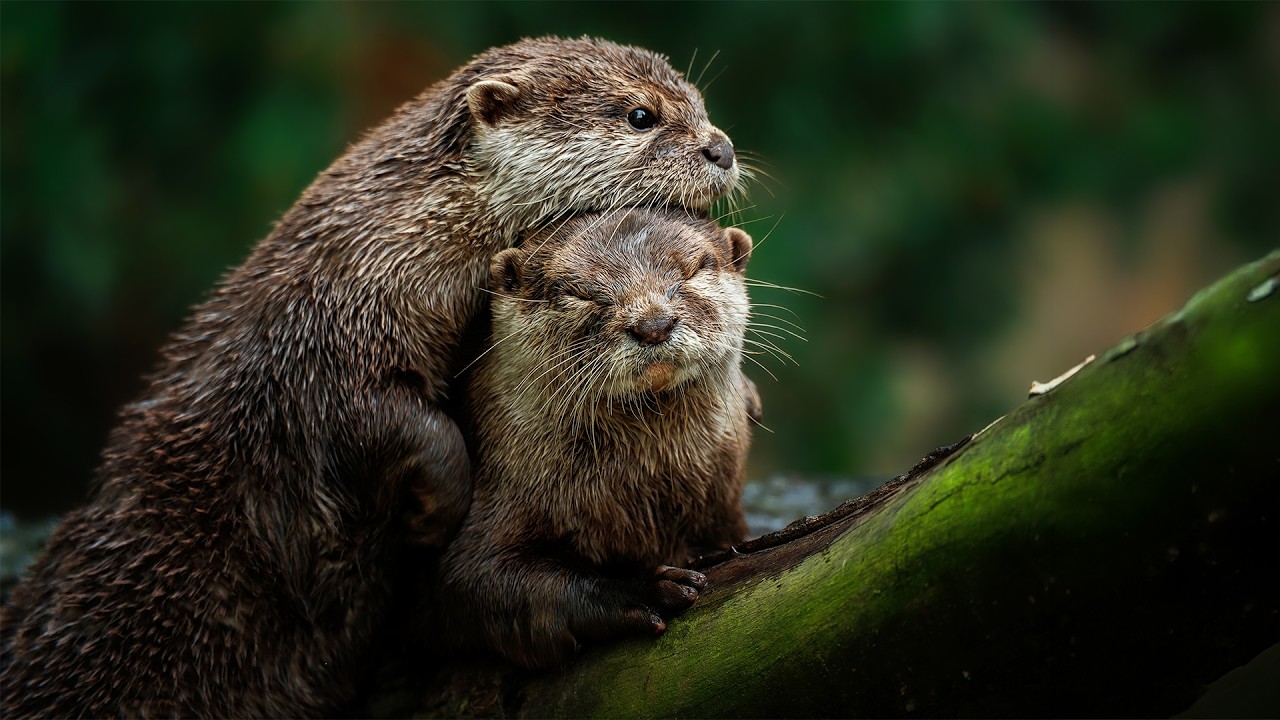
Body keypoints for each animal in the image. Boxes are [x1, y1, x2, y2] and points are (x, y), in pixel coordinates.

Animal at [437, 208, 754, 669]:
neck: (643, 491)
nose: (654, 324)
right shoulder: (493, 500)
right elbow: (473, 580)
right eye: (579, 293)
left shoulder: (724, 512)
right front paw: (644, 590)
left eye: (695, 269)